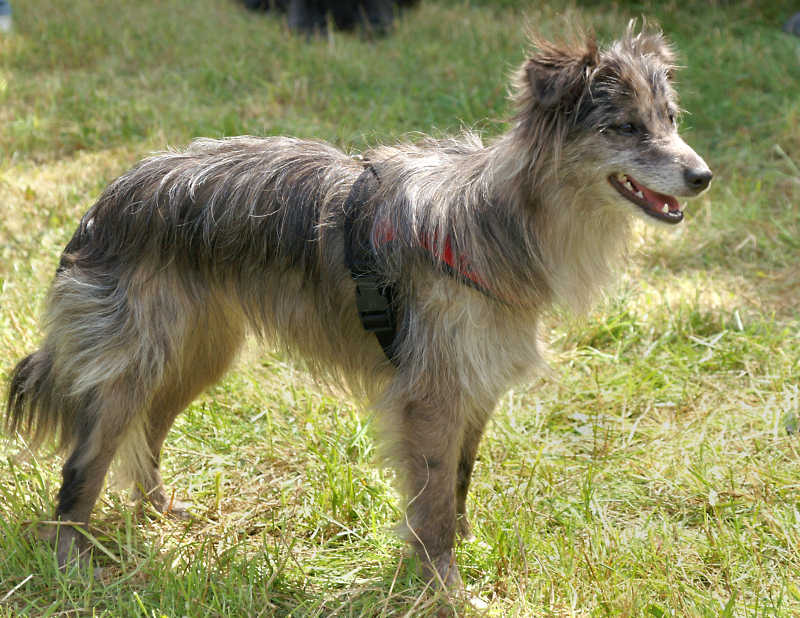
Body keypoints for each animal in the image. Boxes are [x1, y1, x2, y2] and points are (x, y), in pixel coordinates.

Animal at [7, 25, 712, 588]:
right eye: (625, 128)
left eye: (672, 120)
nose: (703, 177)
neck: (501, 219)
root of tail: (110, 196)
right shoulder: (431, 394)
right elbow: (433, 501)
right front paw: (444, 588)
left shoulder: (473, 387)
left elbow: (457, 482)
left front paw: (462, 553)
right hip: (133, 363)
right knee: (85, 462)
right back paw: (71, 559)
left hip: (198, 353)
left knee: (148, 430)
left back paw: (158, 510)